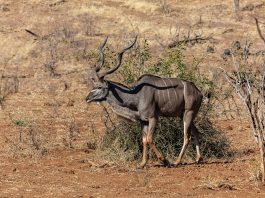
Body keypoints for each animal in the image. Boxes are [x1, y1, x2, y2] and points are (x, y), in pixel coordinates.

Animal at [86, 36, 202, 168]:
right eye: (93, 85)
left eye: (100, 87)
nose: (87, 98)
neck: (137, 96)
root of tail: (199, 92)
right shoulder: (143, 121)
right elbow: (144, 140)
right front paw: (142, 164)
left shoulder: (153, 118)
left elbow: (149, 139)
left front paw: (164, 160)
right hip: (183, 115)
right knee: (196, 132)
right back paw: (198, 158)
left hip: (188, 113)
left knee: (187, 137)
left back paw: (176, 162)